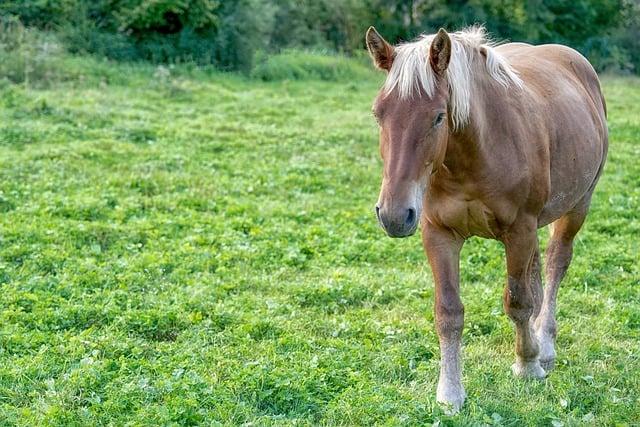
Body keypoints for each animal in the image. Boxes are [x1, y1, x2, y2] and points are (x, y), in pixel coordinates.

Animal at [368, 25, 608, 412]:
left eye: (438, 116)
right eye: (379, 114)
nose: (393, 214)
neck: (474, 153)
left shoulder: (519, 231)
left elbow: (518, 301)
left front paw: (527, 364)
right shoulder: (439, 233)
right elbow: (448, 312)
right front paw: (450, 392)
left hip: (577, 207)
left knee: (556, 265)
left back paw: (545, 345)